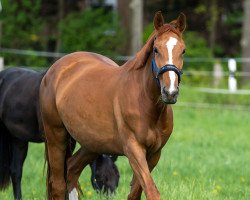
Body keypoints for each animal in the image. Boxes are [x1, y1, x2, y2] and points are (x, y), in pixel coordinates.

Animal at [40, 11, 186, 199]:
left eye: (183, 50)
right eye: (156, 49)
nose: (170, 92)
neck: (145, 103)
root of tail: (55, 69)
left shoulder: (154, 154)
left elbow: (136, 193)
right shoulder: (134, 149)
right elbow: (151, 191)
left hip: (93, 143)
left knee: (72, 169)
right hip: (56, 136)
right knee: (58, 184)